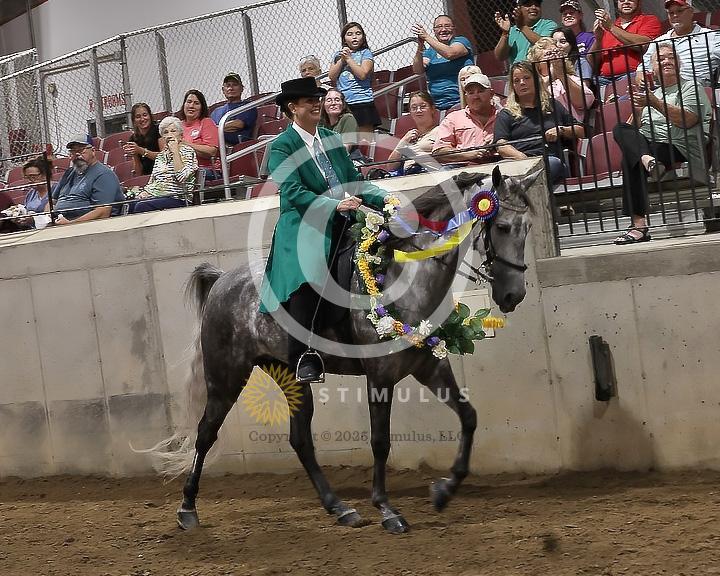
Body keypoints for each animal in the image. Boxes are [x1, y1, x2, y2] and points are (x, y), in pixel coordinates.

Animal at [173, 165, 540, 533]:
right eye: (502, 227)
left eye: (527, 228)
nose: (514, 295)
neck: (406, 278)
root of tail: (222, 280)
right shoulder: (379, 376)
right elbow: (380, 441)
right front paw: (387, 510)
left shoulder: (430, 368)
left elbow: (469, 417)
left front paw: (444, 492)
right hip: (226, 376)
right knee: (206, 433)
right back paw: (187, 509)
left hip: (290, 376)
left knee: (300, 440)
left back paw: (339, 508)